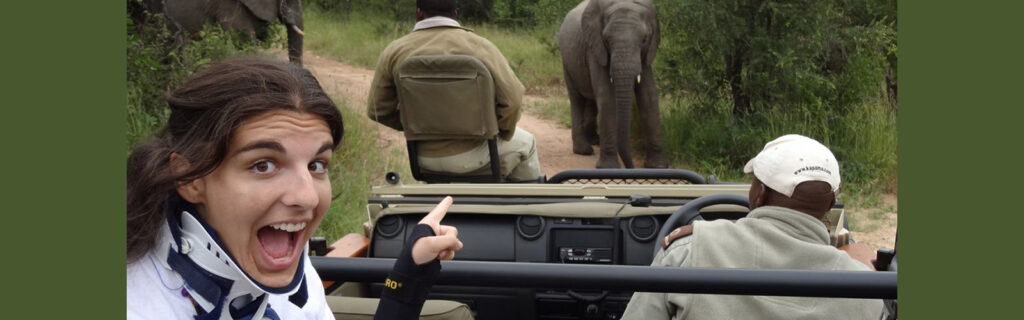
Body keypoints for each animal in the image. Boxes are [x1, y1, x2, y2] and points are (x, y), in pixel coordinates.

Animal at [557, 0, 667, 169]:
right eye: (607, 41)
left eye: (644, 40)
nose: (631, 167)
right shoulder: (595, 47)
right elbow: (607, 97)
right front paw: (609, 167)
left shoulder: (646, 55)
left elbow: (649, 97)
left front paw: (658, 166)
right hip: (567, 61)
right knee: (577, 99)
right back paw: (583, 150)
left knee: (592, 100)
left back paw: (595, 141)